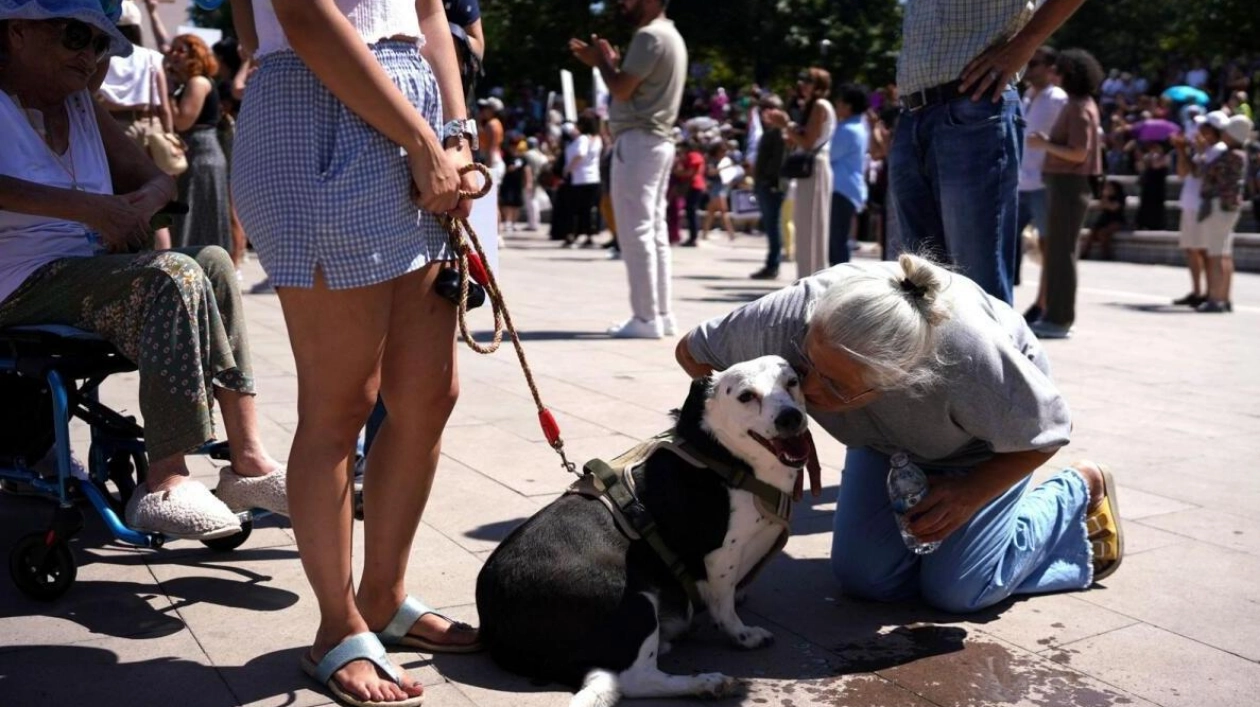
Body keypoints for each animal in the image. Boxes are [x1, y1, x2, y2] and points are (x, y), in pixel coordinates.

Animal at [476, 355, 811, 700]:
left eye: (791, 381)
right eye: (746, 396)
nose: (790, 417)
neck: (723, 456)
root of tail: (495, 627)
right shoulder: (721, 556)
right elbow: (724, 609)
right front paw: (743, 634)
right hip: (636, 599)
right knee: (637, 680)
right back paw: (705, 682)